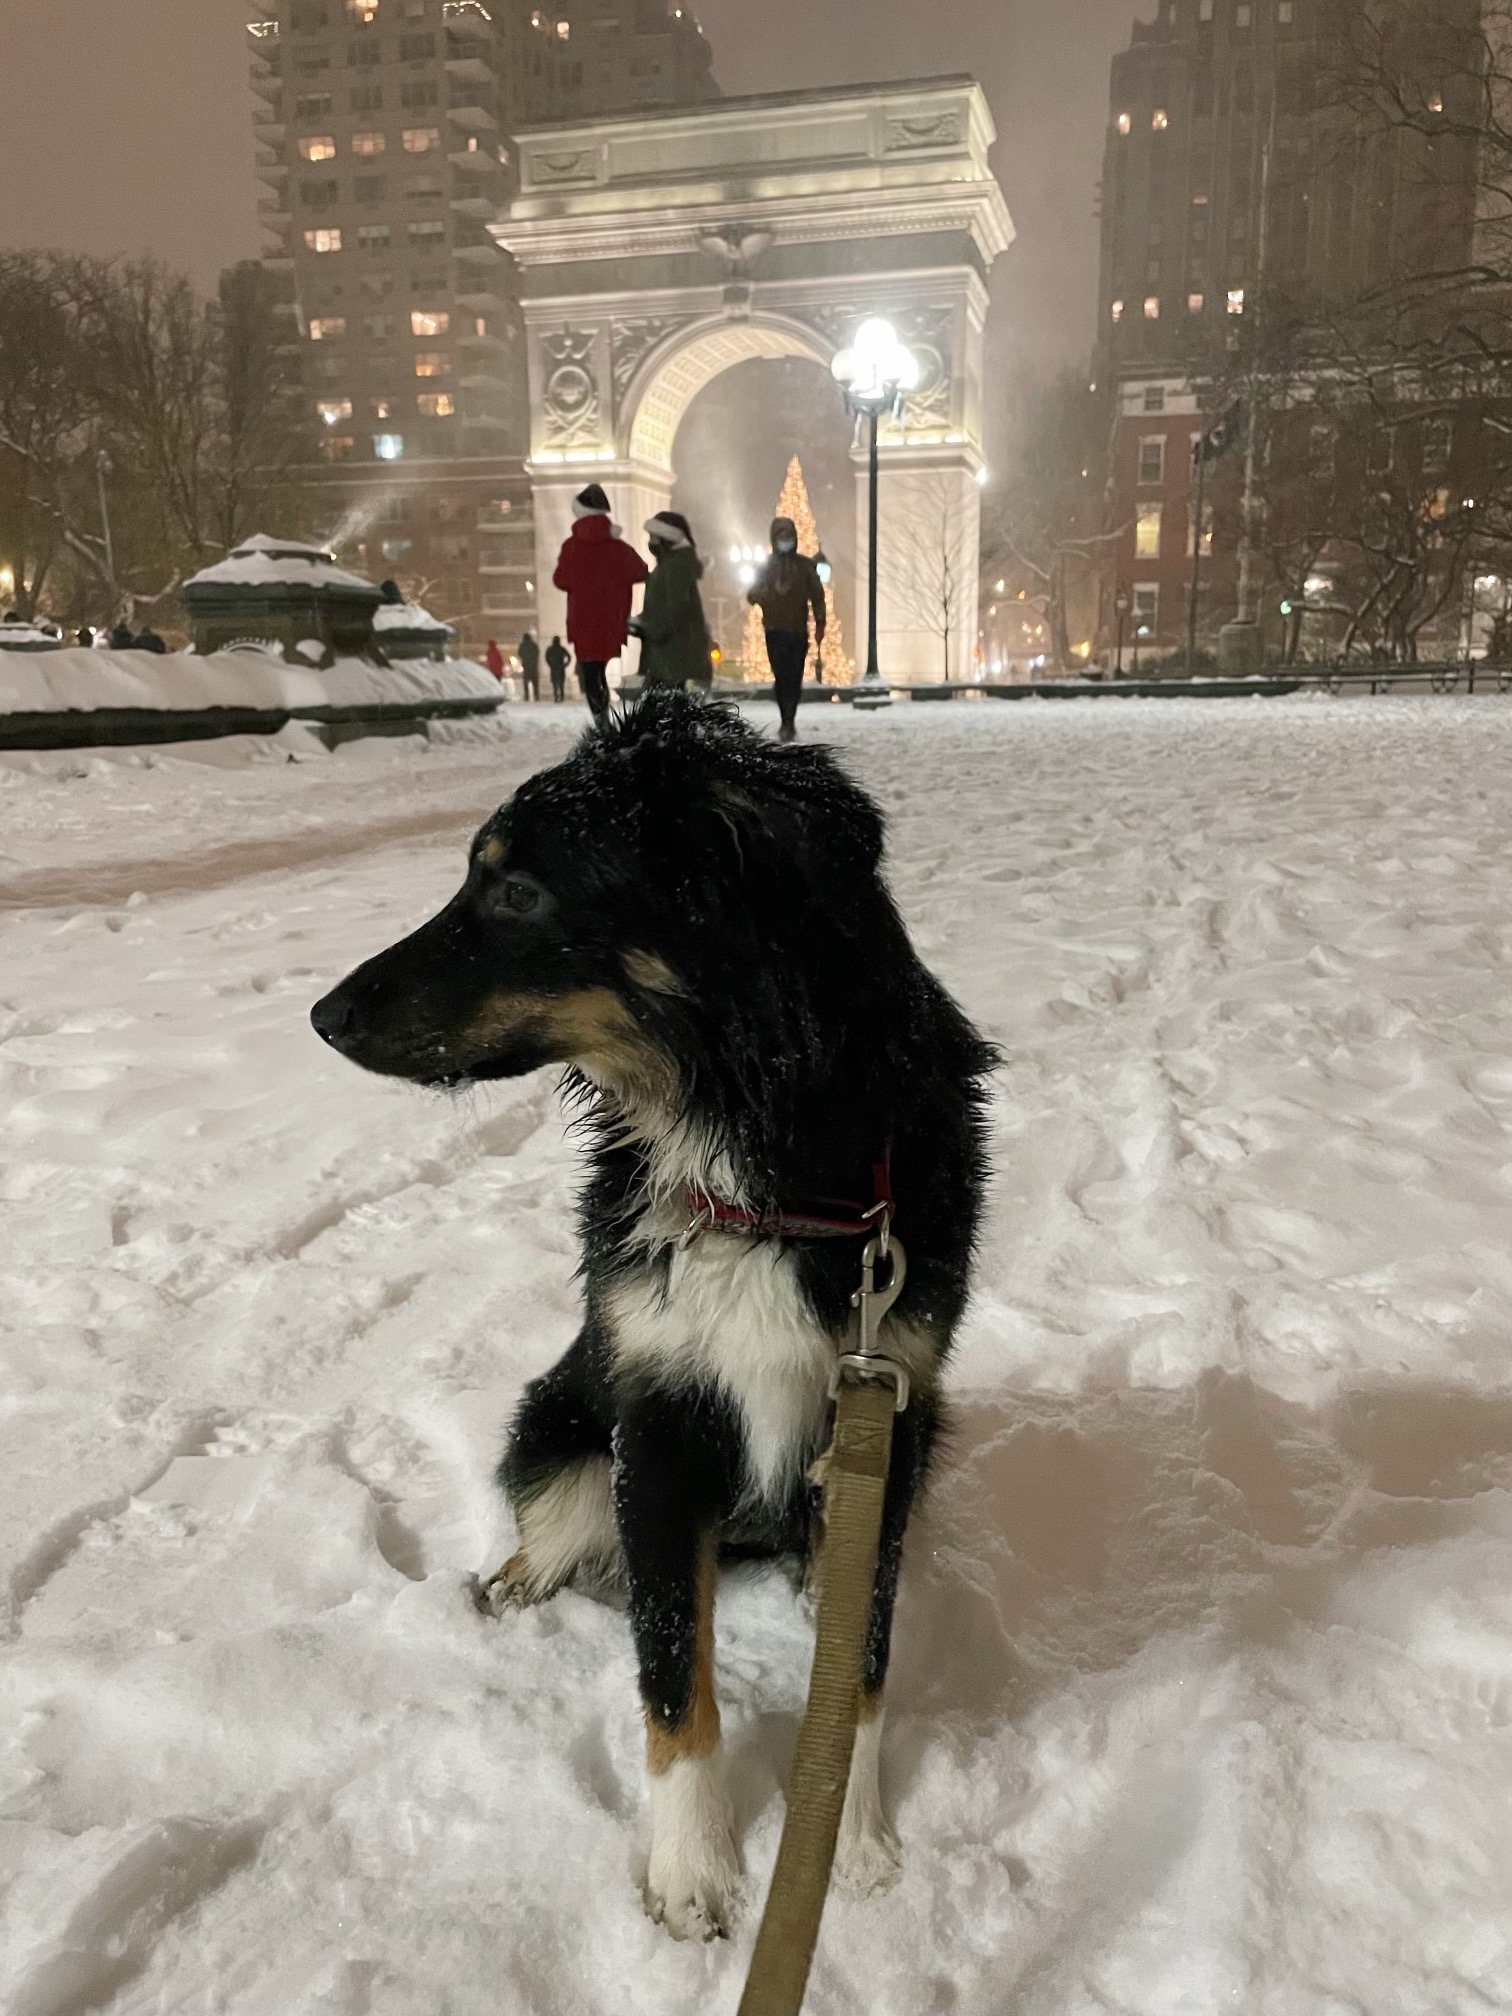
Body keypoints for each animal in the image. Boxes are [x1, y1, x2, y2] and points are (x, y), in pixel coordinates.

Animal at [310, 689, 995, 1935]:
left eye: (519, 892)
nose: (321, 1016)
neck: (751, 1166)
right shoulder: (660, 1419)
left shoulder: (889, 1408)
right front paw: (695, 1870)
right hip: (565, 1424)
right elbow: (673, 1676)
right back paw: (502, 1595)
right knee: (544, 1539)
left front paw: (855, 1838)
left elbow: (862, 1659)